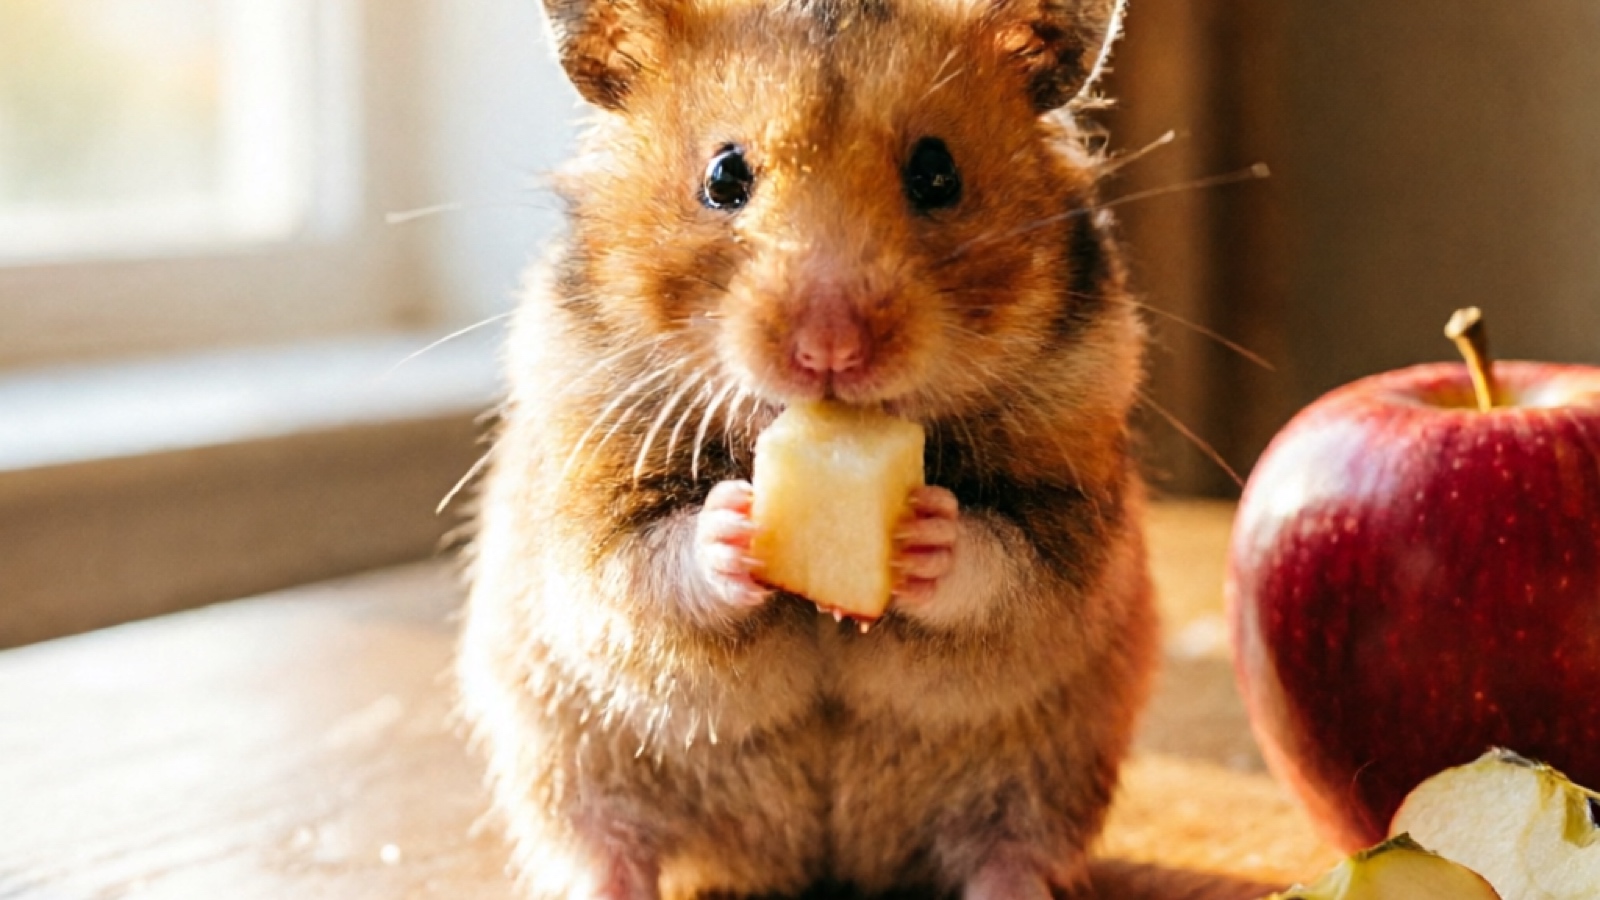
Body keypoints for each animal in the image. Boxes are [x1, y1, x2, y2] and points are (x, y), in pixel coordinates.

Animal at [456, 0, 1158, 896]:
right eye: (725, 176)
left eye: (937, 174)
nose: (831, 349)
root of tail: (818, 860)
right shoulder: (585, 489)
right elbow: (638, 565)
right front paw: (734, 521)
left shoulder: (1077, 509)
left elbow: (1011, 566)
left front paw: (925, 531)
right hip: (566, 761)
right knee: (606, 851)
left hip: (1049, 773)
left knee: (1009, 853)